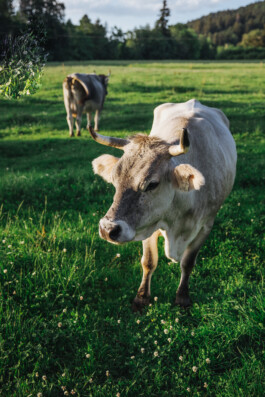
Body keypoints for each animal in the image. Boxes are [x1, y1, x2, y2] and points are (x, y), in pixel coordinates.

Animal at [87, 98, 236, 310]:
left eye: (152, 184)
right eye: (114, 181)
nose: (108, 230)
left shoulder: (206, 225)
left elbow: (188, 263)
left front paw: (182, 297)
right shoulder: (149, 225)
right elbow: (149, 262)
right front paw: (141, 298)